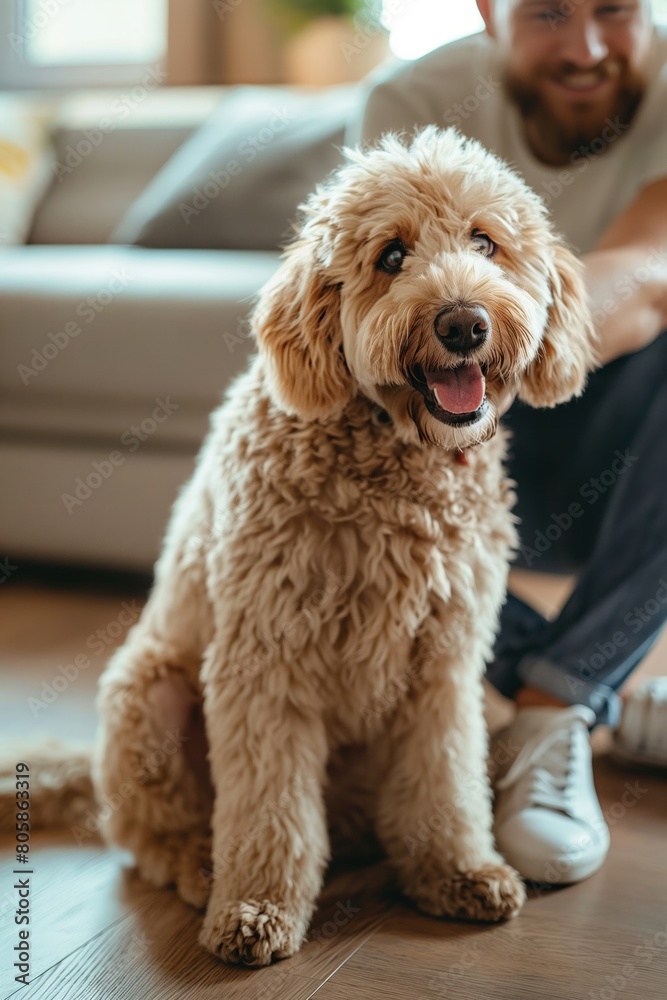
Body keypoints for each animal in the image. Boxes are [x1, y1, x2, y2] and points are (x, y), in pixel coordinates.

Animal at [90, 129, 596, 964]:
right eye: (391, 255)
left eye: (484, 242)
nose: (463, 324)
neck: (397, 470)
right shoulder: (263, 663)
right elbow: (269, 812)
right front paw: (256, 907)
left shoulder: (444, 666)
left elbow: (444, 782)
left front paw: (454, 870)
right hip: (149, 692)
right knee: (149, 835)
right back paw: (201, 864)